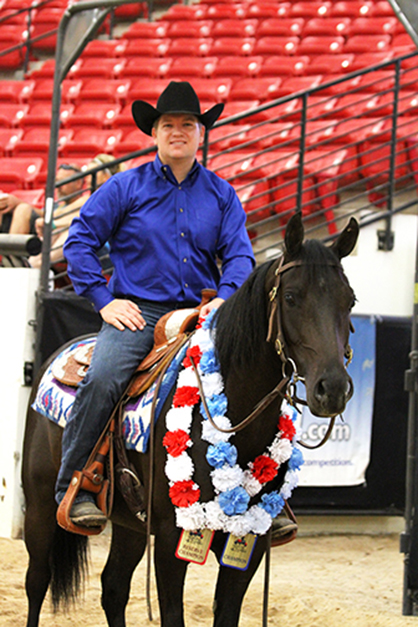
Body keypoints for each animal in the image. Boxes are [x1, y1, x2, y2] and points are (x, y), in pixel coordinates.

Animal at [20, 212, 360, 627]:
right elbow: (172, 614)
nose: (333, 388)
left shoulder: (248, 542)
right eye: (292, 297)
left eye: (349, 299)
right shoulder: (173, 538)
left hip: (131, 523)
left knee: (113, 587)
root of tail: (62, 352)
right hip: (39, 503)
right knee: (37, 581)